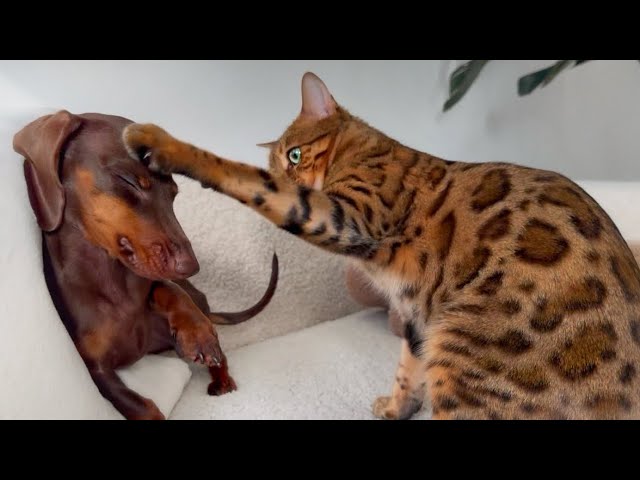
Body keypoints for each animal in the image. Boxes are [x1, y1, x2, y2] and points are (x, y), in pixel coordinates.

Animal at [12, 110, 278, 418]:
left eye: (173, 193)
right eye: (128, 180)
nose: (190, 267)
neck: (110, 278)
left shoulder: (152, 281)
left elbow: (167, 288)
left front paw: (196, 331)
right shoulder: (96, 370)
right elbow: (141, 406)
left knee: (218, 354)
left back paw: (220, 375)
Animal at [124, 72, 640, 420]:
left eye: (295, 154)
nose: (290, 169)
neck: (367, 150)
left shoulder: (347, 215)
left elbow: (242, 176)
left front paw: (160, 141)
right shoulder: (416, 315)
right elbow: (408, 369)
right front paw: (395, 406)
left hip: (463, 355)